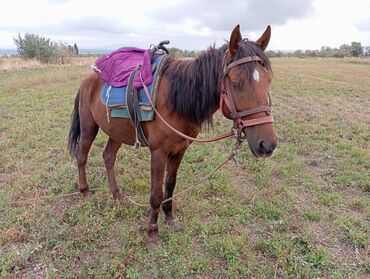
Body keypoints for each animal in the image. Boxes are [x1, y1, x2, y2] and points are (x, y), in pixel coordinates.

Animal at [68, 24, 278, 247]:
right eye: (237, 84)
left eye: (268, 81)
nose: (267, 145)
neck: (176, 99)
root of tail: (88, 79)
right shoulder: (158, 152)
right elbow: (156, 193)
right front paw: (152, 231)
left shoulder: (180, 149)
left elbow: (170, 185)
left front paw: (169, 217)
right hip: (89, 128)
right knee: (82, 156)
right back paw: (85, 191)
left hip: (116, 132)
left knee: (108, 157)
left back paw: (117, 195)